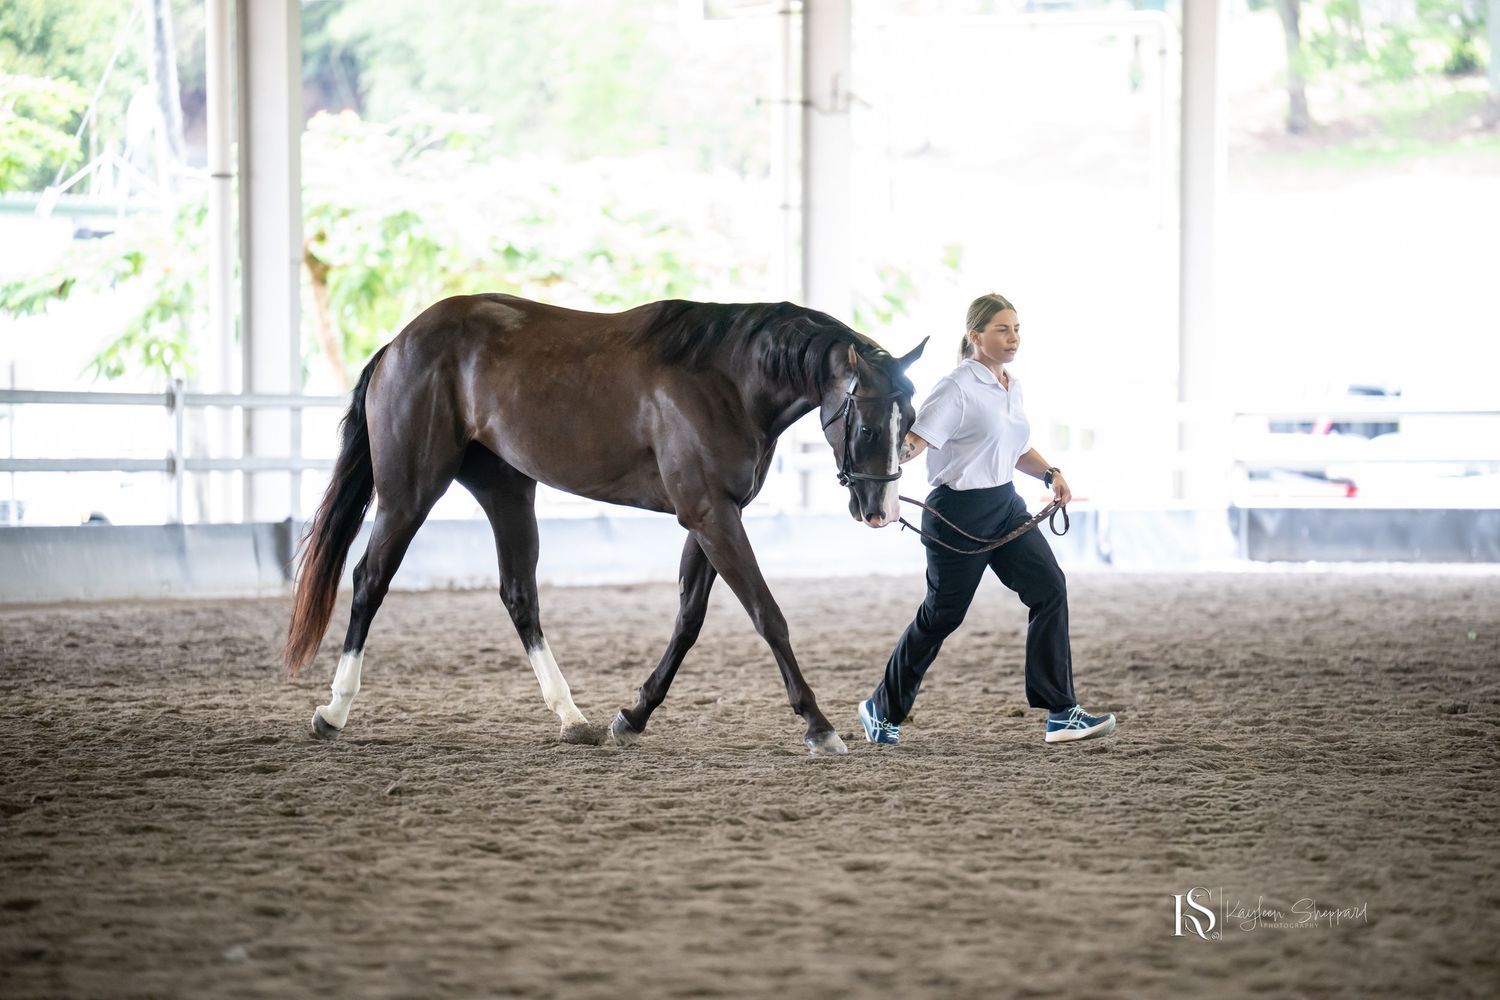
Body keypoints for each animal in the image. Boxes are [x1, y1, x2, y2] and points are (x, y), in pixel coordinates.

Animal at [283, 294, 926, 754]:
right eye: (868, 425)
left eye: (911, 418)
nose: (883, 511)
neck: (726, 379)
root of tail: (400, 341)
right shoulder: (711, 515)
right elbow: (768, 617)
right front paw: (818, 725)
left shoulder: (712, 517)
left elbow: (689, 620)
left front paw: (633, 715)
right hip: (408, 495)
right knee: (369, 581)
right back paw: (333, 710)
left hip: (506, 491)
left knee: (519, 594)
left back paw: (573, 718)